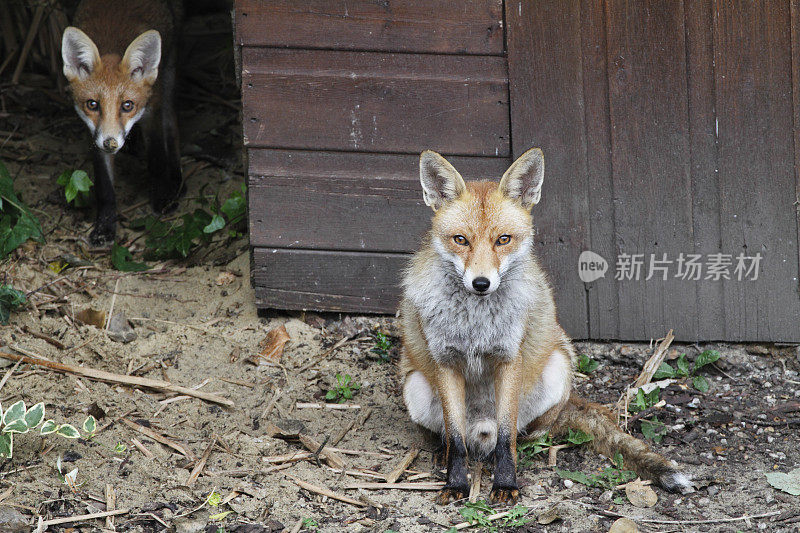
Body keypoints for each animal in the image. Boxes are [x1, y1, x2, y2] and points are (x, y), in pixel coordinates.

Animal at [61, 0, 183, 245]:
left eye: (127, 105)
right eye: (92, 104)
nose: (111, 143)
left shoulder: (151, 111)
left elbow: (157, 161)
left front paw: (161, 199)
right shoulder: (93, 132)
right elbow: (105, 187)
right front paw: (105, 226)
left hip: (167, 77)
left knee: (172, 125)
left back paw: (176, 179)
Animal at [400, 149, 692, 502]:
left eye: (503, 240)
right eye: (460, 240)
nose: (481, 283)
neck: (476, 324)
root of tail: (480, 431)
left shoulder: (510, 358)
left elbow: (506, 437)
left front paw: (505, 484)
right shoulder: (445, 361)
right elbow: (456, 440)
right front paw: (456, 483)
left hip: (557, 369)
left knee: (526, 435)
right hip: (414, 386)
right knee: (451, 436)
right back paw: (441, 453)